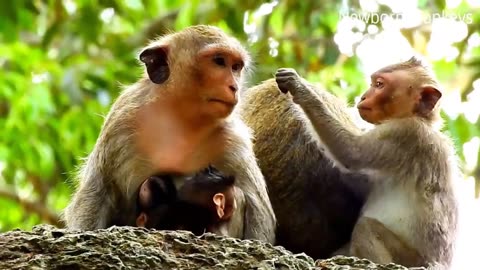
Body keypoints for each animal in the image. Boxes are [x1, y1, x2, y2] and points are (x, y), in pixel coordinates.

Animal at [62, 24, 276, 243]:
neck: (181, 118)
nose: (234, 87)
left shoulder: (233, 138)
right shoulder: (121, 122)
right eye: (219, 61)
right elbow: (98, 191)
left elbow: (258, 212)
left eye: (236, 67)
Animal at [278, 57, 462, 268]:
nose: (364, 96)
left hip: (411, 260)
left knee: (365, 228)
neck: (419, 118)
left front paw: (301, 89)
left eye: (379, 84)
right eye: (373, 83)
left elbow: (350, 151)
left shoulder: (405, 133)